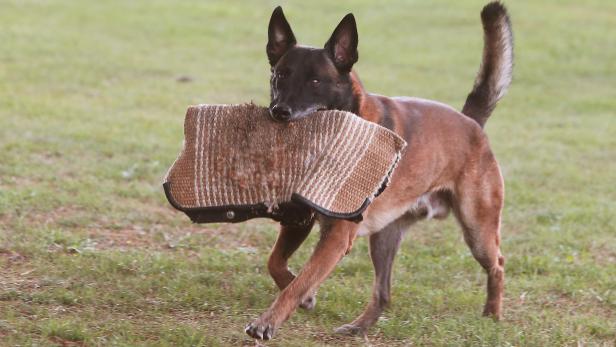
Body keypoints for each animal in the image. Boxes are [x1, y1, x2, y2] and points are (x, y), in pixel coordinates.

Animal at [243, 1, 512, 342]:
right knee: (383, 293)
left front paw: (269, 320)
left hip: (477, 230)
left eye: (316, 81)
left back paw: (493, 314)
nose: (279, 112)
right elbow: (277, 263)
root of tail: (471, 121)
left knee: (498, 264)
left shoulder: (336, 236)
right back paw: (358, 327)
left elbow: (300, 280)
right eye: (280, 76)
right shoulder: (300, 219)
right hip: (384, 238)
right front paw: (304, 297)